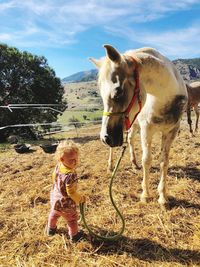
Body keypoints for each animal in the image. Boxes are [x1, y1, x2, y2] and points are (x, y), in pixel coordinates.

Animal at [90, 45, 188, 206]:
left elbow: (164, 162)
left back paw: (134, 163)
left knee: (130, 139)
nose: (106, 138)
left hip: (133, 125)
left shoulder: (171, 131)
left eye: (118, 92)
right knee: (114, 148)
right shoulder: (147, 129)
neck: (164, 98)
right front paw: (146, 195)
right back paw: (111, 165)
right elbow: (147, 160)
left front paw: (162, 197)